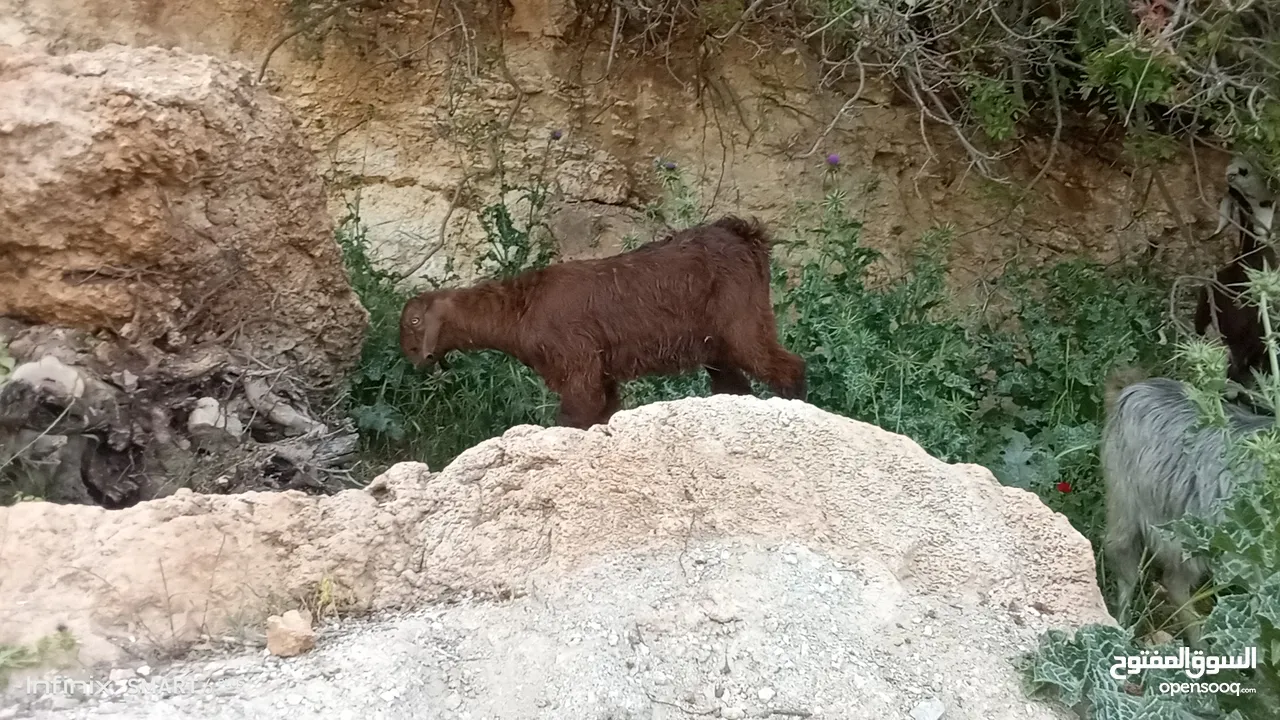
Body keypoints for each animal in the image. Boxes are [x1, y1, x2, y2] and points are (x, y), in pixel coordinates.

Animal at [394, 212, 803, 425]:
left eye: (413, 322)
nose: (415, 358)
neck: (520, 308)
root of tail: (746, 235)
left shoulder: (576, 358)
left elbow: (577, 412)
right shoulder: (602, 370)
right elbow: (602, 410)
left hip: (741, 319)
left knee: (786, 364)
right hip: (716, 343)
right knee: (735, 384)